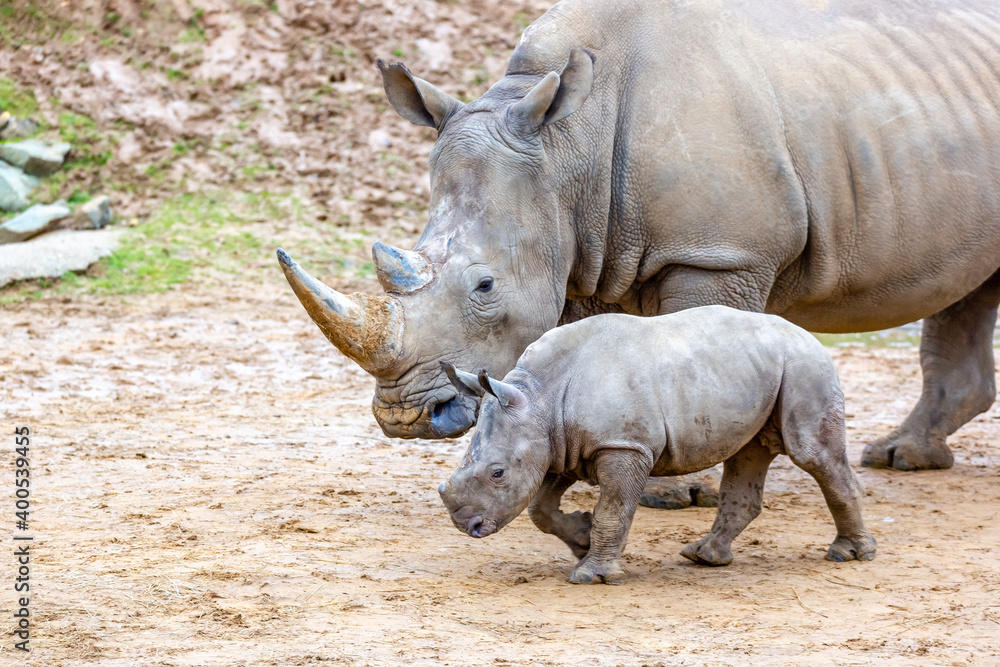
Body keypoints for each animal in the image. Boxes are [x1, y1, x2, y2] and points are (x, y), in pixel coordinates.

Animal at [278, 0, 1000, 504]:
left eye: (484, 287)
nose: (404, 418)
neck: (569, 144)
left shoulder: (718, 254)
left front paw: (673, 493)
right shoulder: (579, 251)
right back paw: (902, 456)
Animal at [437, 307, 877, 584]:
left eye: (497, 473)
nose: (466, 527)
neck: (540, 396)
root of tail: (808, 335)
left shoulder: (623, 446)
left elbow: (613, 511)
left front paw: (591, 575)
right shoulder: (562, 445)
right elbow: (539, 509)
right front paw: (580, 540)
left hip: (805, 366)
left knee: (812, 454)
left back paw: (850, 555)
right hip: (758, 370)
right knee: (747, 456)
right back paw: (704, 556)